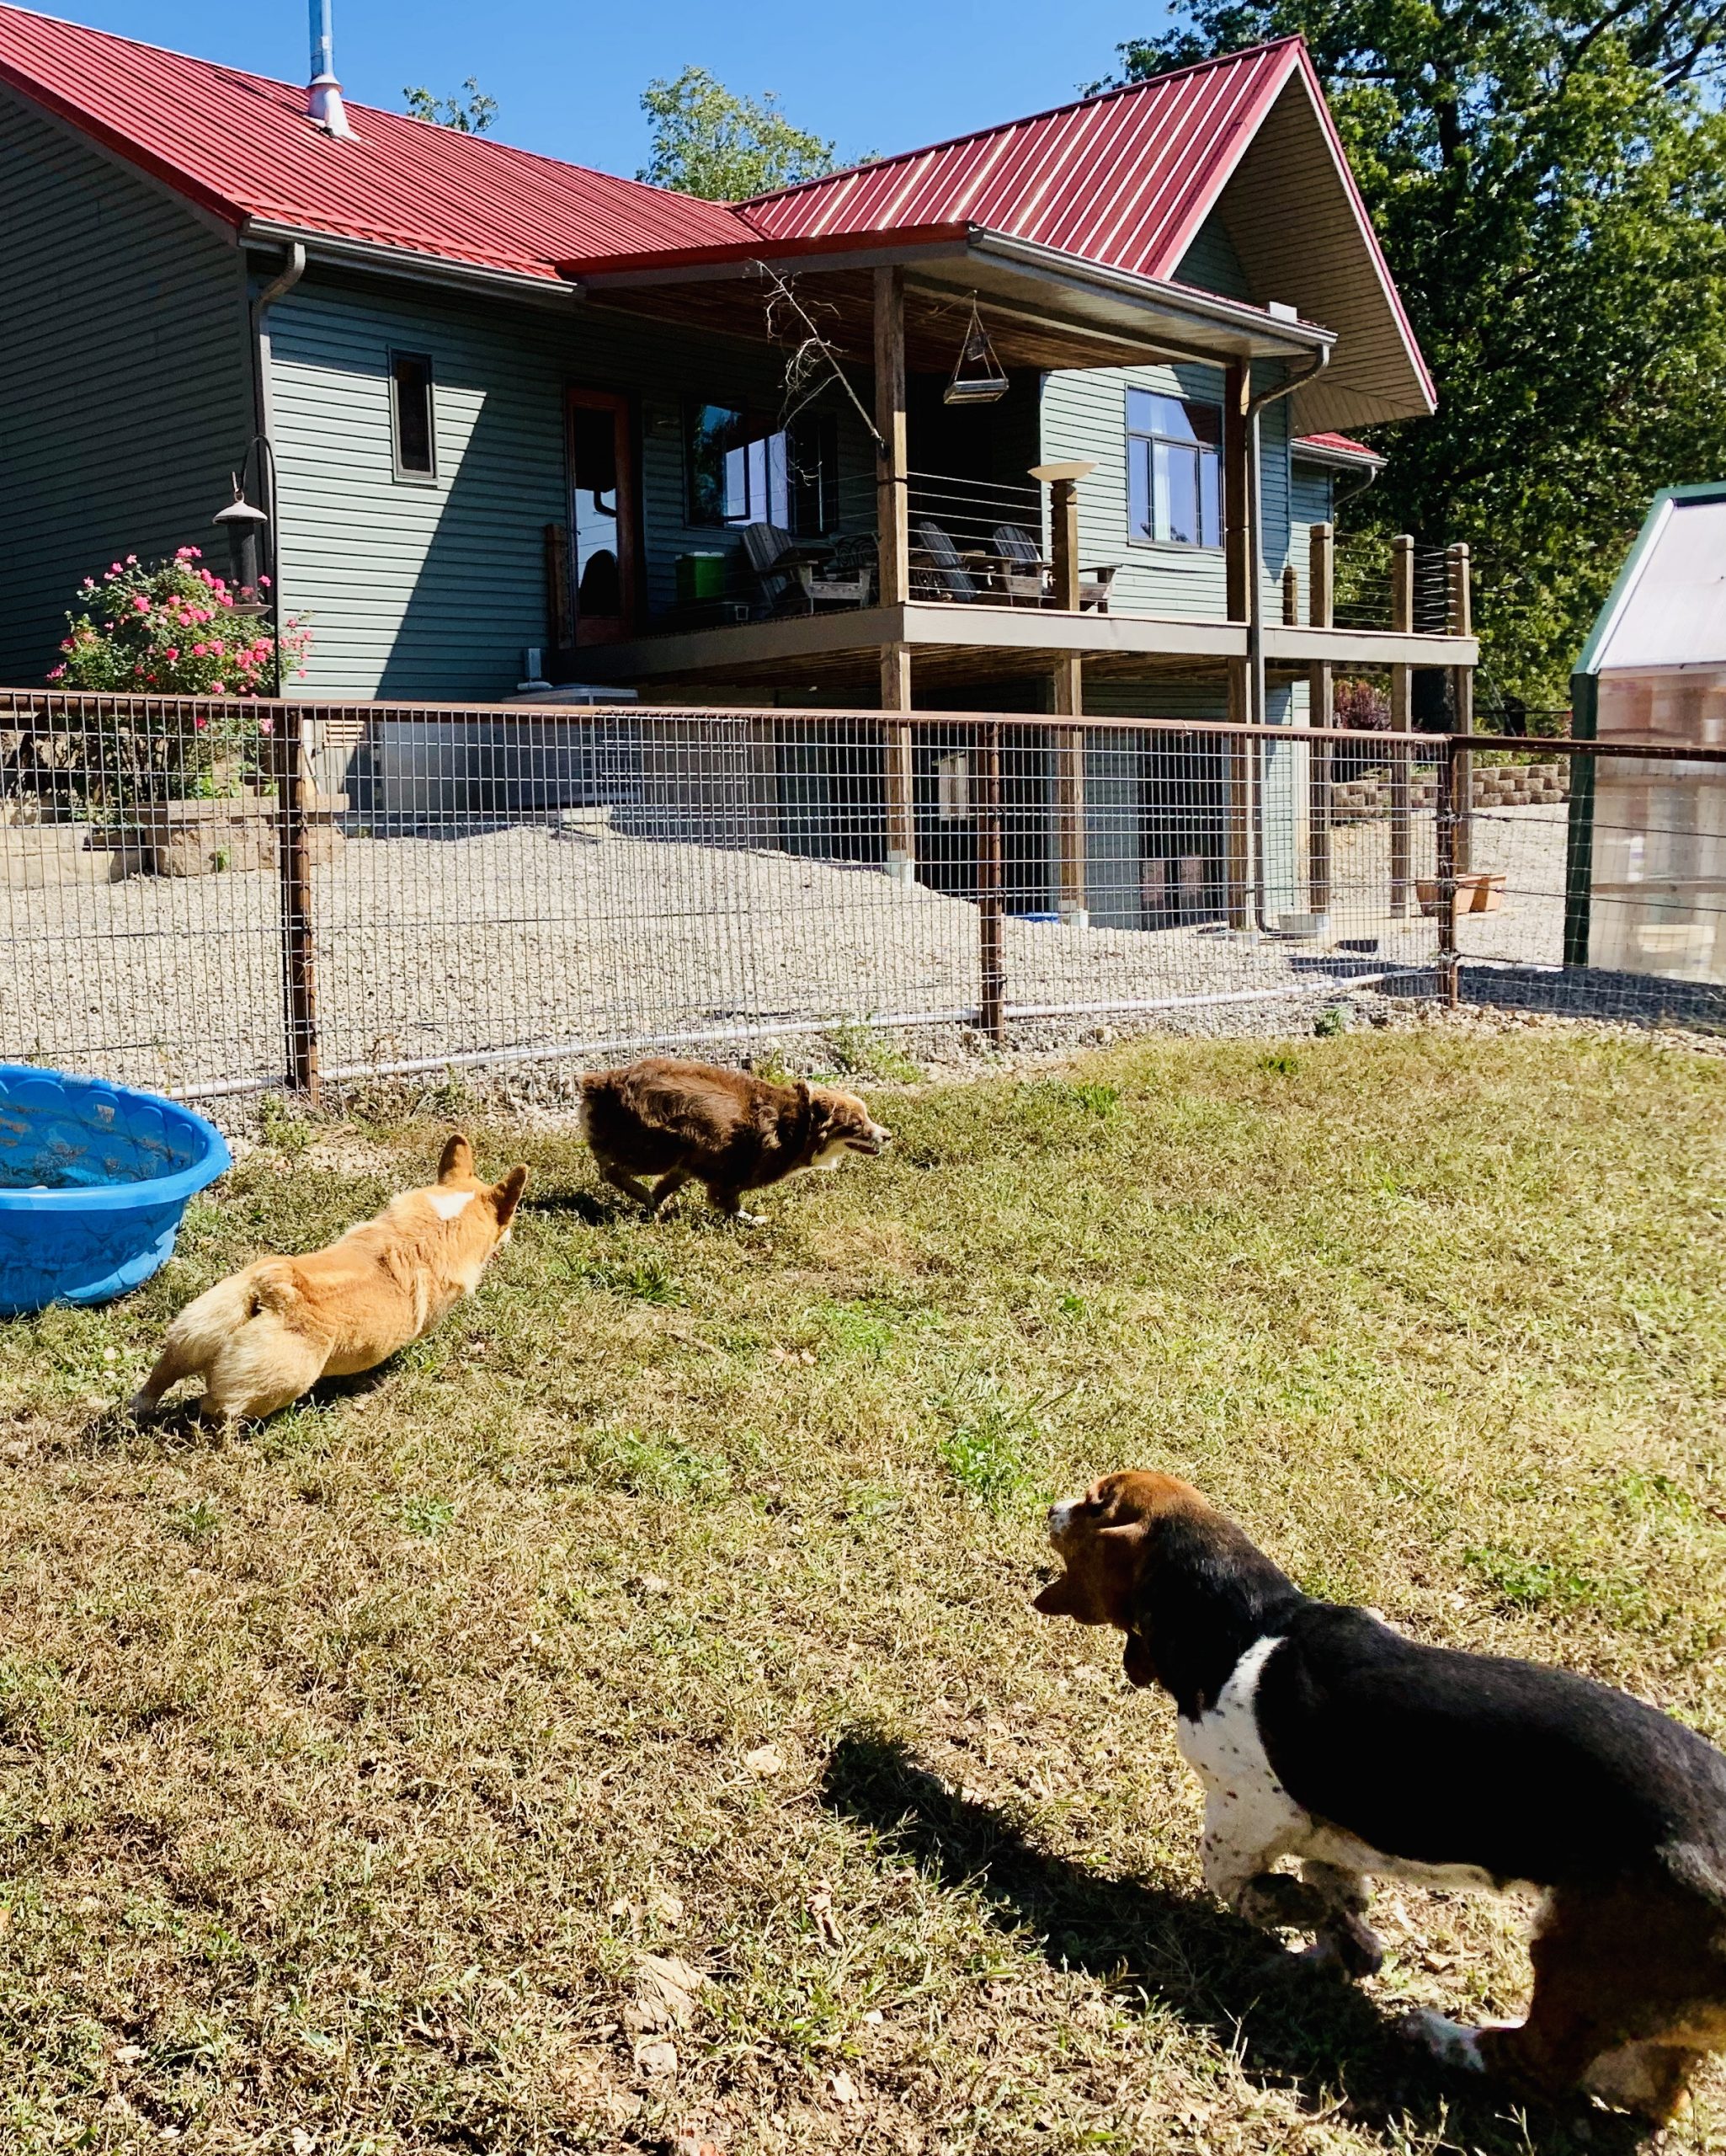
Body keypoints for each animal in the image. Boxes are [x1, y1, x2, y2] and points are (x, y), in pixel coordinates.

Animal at [133, 1138, 525, 1422]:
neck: (439, 1223)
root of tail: (271, 1290)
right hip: (280, 1383)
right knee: (217, 1410)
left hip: (192, 1335)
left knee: (160, 1379)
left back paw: (142, 1407)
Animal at [577, 1056, 887, 1225]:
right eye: (857, 1124)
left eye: (868, 1116)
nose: (888, 1135)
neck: (798, 1126)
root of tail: (601, 1083)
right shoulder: (733, 1173)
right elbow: (728, 1203)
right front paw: (753, 1220)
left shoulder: (692, 1162)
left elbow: (666, 1187)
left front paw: (656, 1208)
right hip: (658, 1148)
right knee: (610, 1168)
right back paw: (636, 1189)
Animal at [1030, 1465, 1723, 2121]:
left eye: (1096, 1502)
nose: (1051, 1506)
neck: (1249, 1626)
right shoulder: (1325, 1832)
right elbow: (1339, 1898)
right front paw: (1339, 1945)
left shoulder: (1248, 1809)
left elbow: (1231, 1879)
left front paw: (1290, 1910)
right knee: (1649, 2092)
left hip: (1579, 1954)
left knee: (1537, 2065)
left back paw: (1441, 2036)